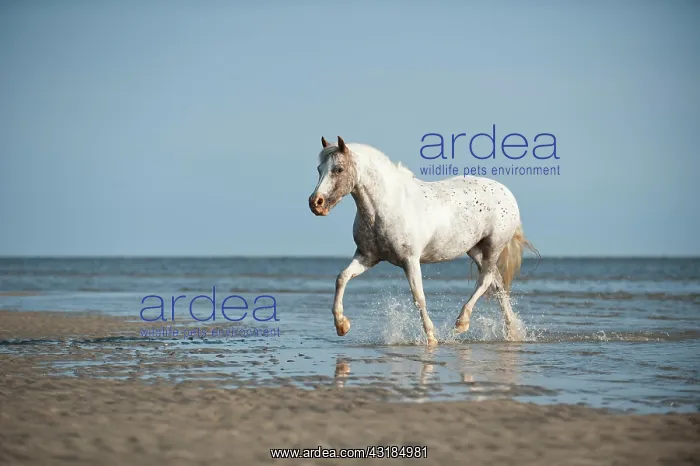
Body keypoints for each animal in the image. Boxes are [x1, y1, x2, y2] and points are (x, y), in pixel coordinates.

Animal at [308, 136, 538, 345]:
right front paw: (341, 325)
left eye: (338, 169)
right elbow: (342, 278)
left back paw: (462, 322)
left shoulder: (410, 261)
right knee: (497, 283)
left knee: (486, 280)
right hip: (475, 250)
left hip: (493, 246)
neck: (386, 206)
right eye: (319, 169)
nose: (316, 203)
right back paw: (510, 332)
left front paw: (431, 338)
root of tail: (506, 193)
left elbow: (418, 297)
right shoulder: (367, 257)